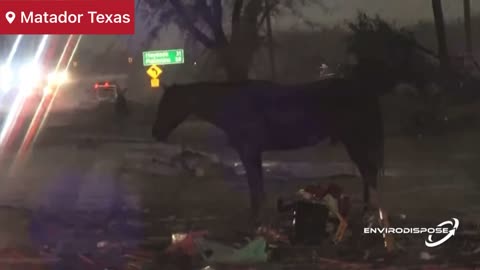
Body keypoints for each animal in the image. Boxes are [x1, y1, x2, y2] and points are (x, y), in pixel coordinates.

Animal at [153, 77, 390, 220]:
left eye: (168, 104)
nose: (156, 133)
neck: (234, 104)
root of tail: (364, 90)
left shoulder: (248, 152)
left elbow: (255, 186)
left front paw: (255, 218)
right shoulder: (253, 153)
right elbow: (257, 186)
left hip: (356, 142)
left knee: (368, 173)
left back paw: (370, 213)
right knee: (367, 173)